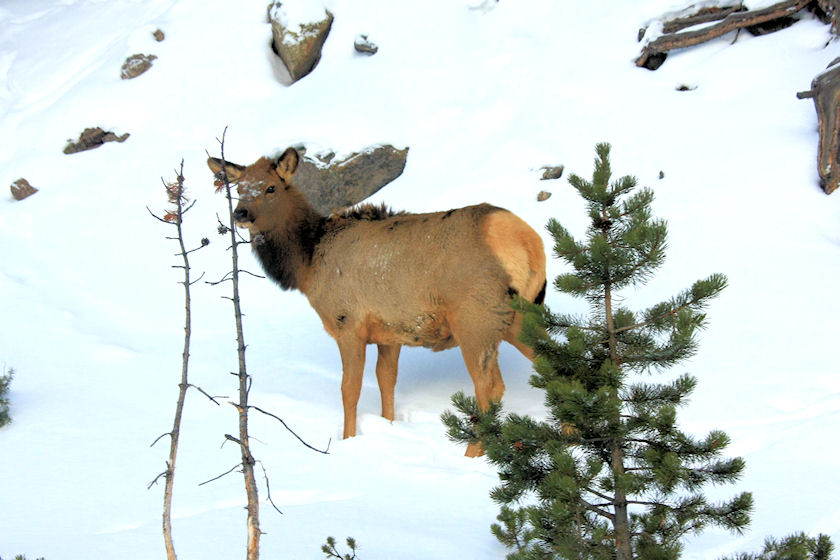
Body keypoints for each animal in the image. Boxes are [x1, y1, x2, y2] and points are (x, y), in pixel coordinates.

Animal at [209, 148, 548, 456]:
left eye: (271, 187)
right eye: (239, 189)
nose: (240, 214)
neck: (307, 263)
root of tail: (528, 242)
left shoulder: (348, 322)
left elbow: (350, 390)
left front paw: (348, 440)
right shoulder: (390, 331)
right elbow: (387, 380)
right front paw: (388, 426)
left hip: (476, 317)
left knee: (488, 387)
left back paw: (472, 452)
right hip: (520, 316)